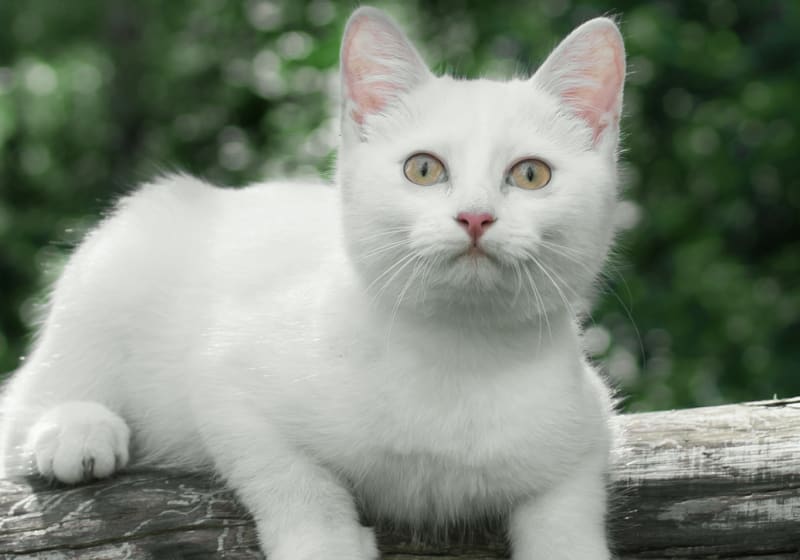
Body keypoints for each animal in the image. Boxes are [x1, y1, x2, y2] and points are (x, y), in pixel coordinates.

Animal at [0, 5, 624, 560]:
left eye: (531, 174)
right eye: (423, 169)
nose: (475, 217)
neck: (458, 356)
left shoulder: (588, 423)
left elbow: (570, 509)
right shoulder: (226, 378)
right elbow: (291, 477)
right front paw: (324, 542)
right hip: (121, 254)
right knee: (33, 398)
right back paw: (76, 429)